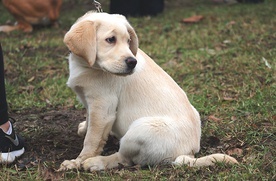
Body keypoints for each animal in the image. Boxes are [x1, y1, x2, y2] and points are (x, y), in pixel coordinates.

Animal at [59, 11, 237, 171]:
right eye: (110, 40)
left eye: (128, 41)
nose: (132, 62)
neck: (87, 66)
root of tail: (189, 152)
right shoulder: (91, 102)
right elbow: (89, 119)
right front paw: (84, 128)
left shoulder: (103, 107)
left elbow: (92, 140)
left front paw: (78, 162)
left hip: (139, 130)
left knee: (124, 159)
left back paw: (96, 162)